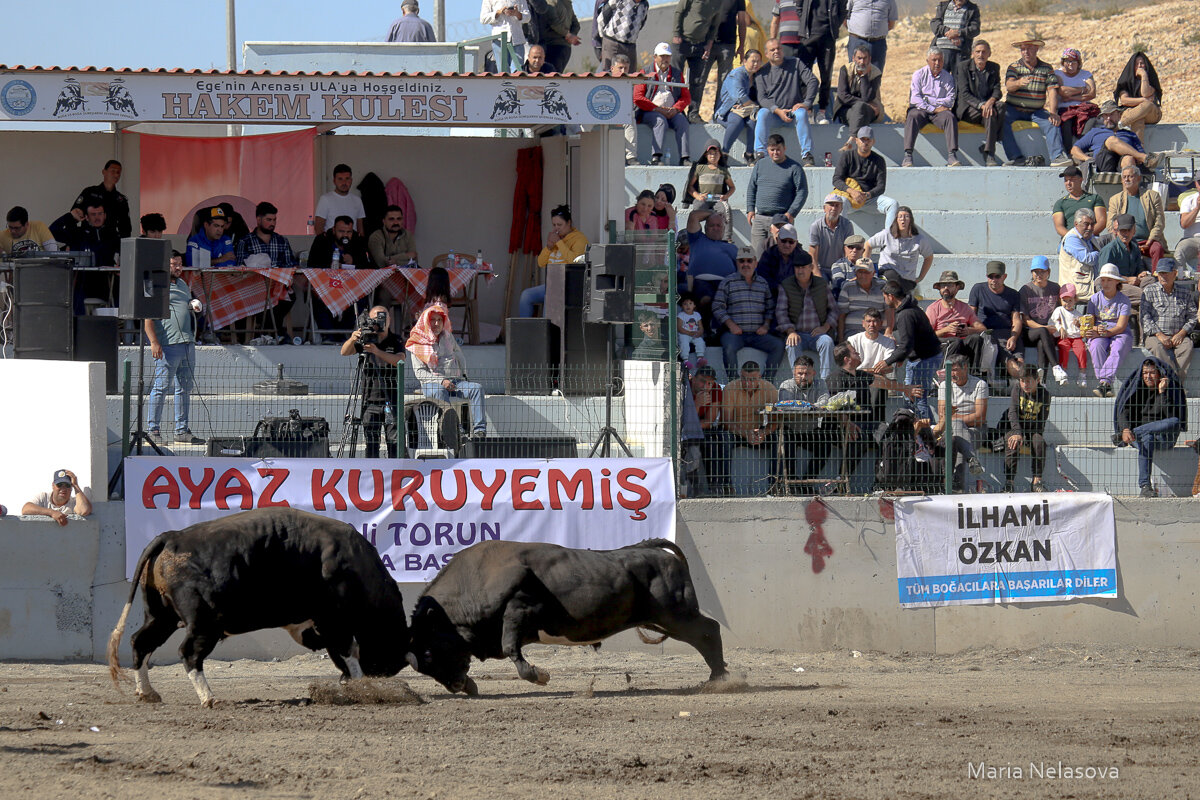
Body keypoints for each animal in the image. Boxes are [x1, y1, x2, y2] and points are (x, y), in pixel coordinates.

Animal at [109, 510, 408, 705]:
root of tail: (172, 537)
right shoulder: (334, 621)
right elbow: (349, 652)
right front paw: (363, 687)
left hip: (162, 616)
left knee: (141, 642)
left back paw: (147, 693)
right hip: (204, 623)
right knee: (189, 652)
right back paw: (209, 698)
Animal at [408, 537, 724, 695]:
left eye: (430, 652)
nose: (455, 686)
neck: (475, 578)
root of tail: (659, 554)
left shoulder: (520, 609)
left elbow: (511, 647)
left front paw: (539, 675)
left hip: (676, 613)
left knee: (709, 630)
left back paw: (720, 678)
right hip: (660, 618)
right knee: (707, 632)